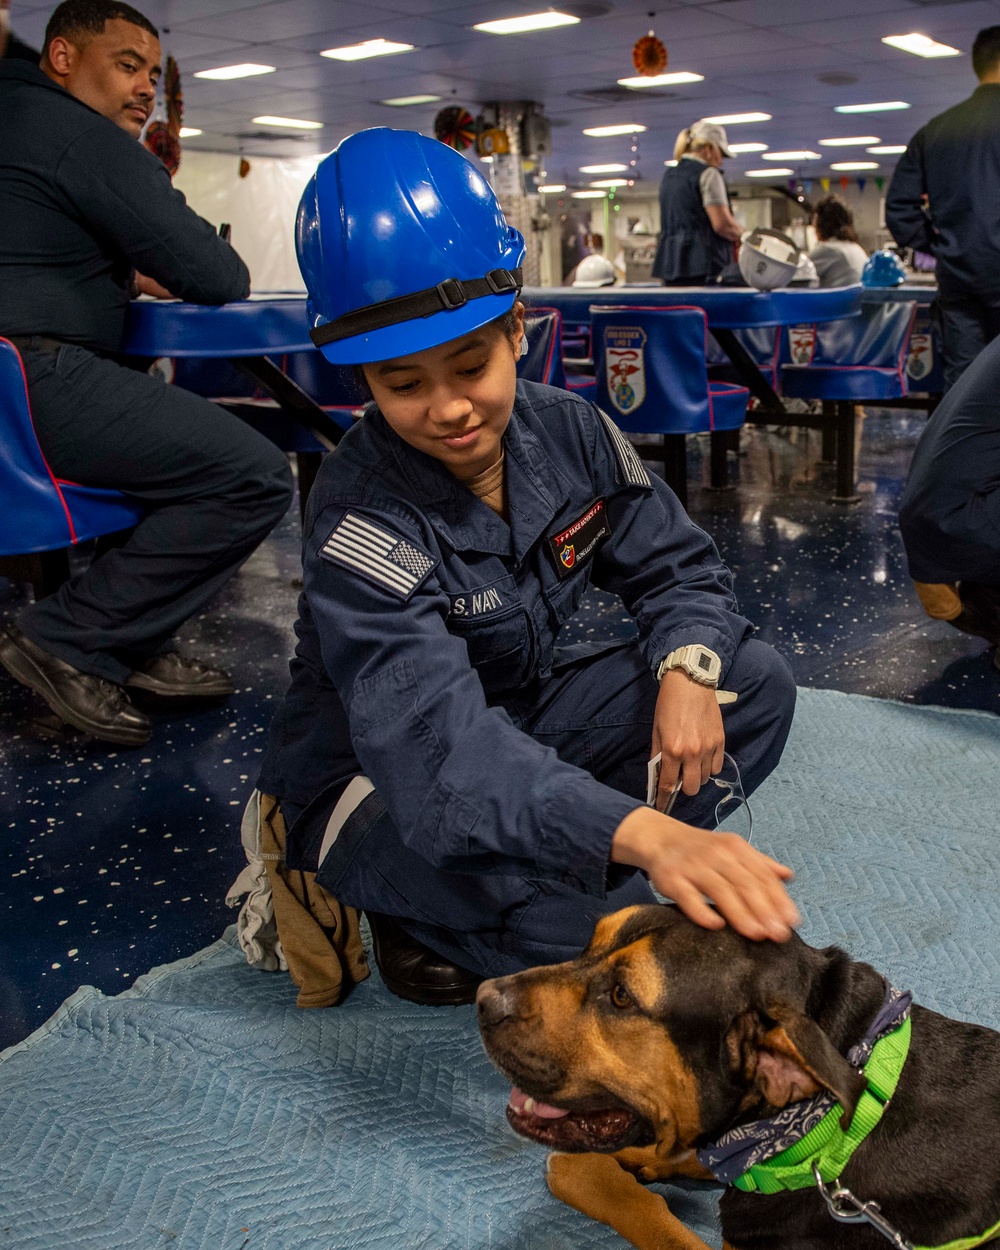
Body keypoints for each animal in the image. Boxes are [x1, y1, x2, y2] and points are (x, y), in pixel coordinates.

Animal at [475, 905, 1000, 1250]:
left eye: (622, 996)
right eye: (590, 944)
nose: (482, 998)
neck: (826, 1135)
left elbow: (658, 1220)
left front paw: (596, 1177)